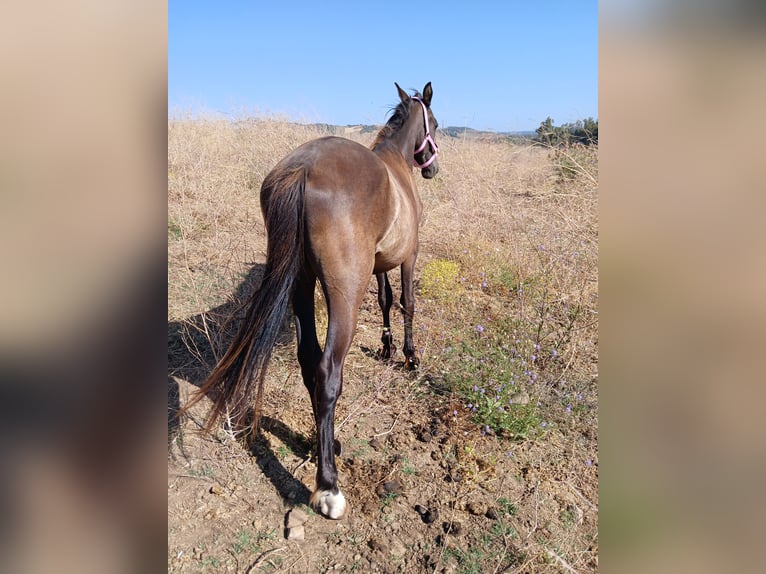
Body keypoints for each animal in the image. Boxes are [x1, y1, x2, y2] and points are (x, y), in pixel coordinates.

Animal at [187, 82, 440, 520]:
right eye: (436, 124)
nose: (431, 167)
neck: (395, 165)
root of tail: (302, 169)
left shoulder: (381, 264)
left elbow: (386, 299)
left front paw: (388, 348)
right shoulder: (409, 256)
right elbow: (406, 302)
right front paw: (409, 357)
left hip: (302, 284)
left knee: (309, 362)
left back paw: (322, 445)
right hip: (342, 295)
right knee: (326, 371)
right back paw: (329, 486)